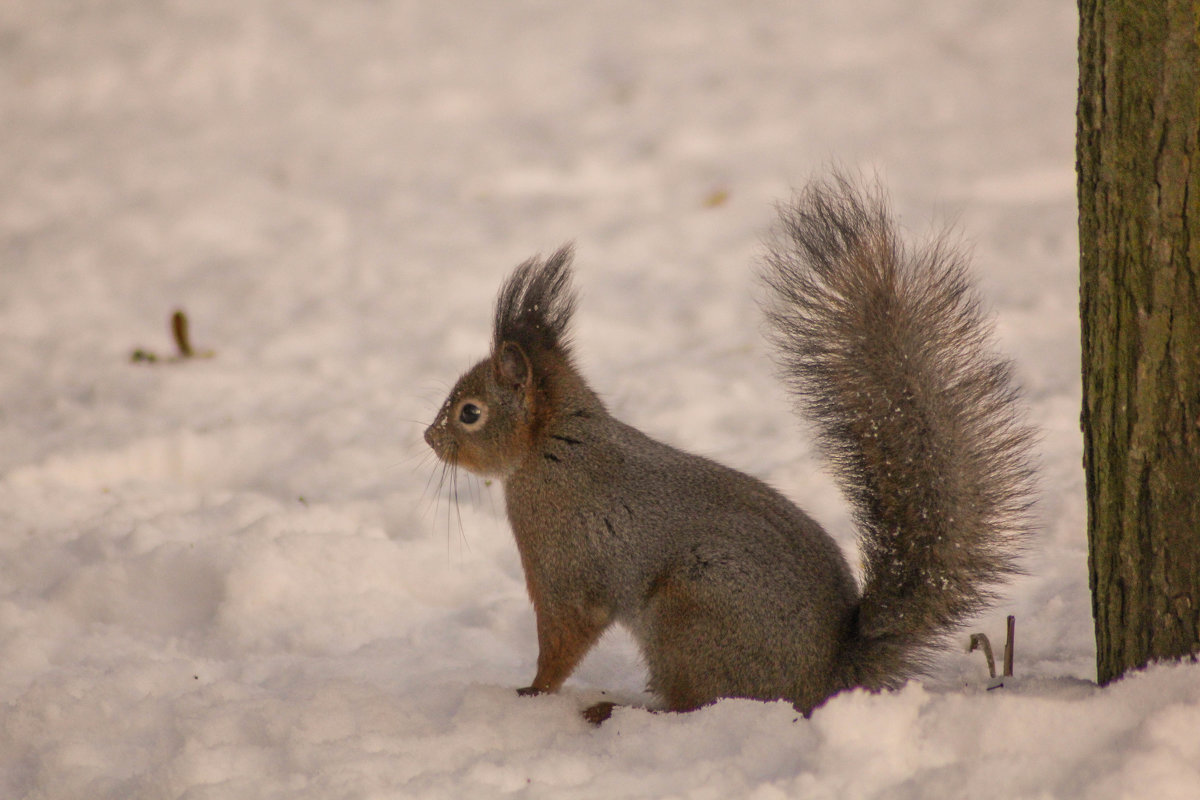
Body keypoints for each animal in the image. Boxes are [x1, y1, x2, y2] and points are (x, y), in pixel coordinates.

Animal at [427, 175, 1036, 724]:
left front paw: (531, 693)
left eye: (470, 412)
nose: (429, 439)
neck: (553, 449)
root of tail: (825, 679)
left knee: (694, 705)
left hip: (689, 613)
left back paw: (615, 709)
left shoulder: (563, 560)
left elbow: (564, 636)